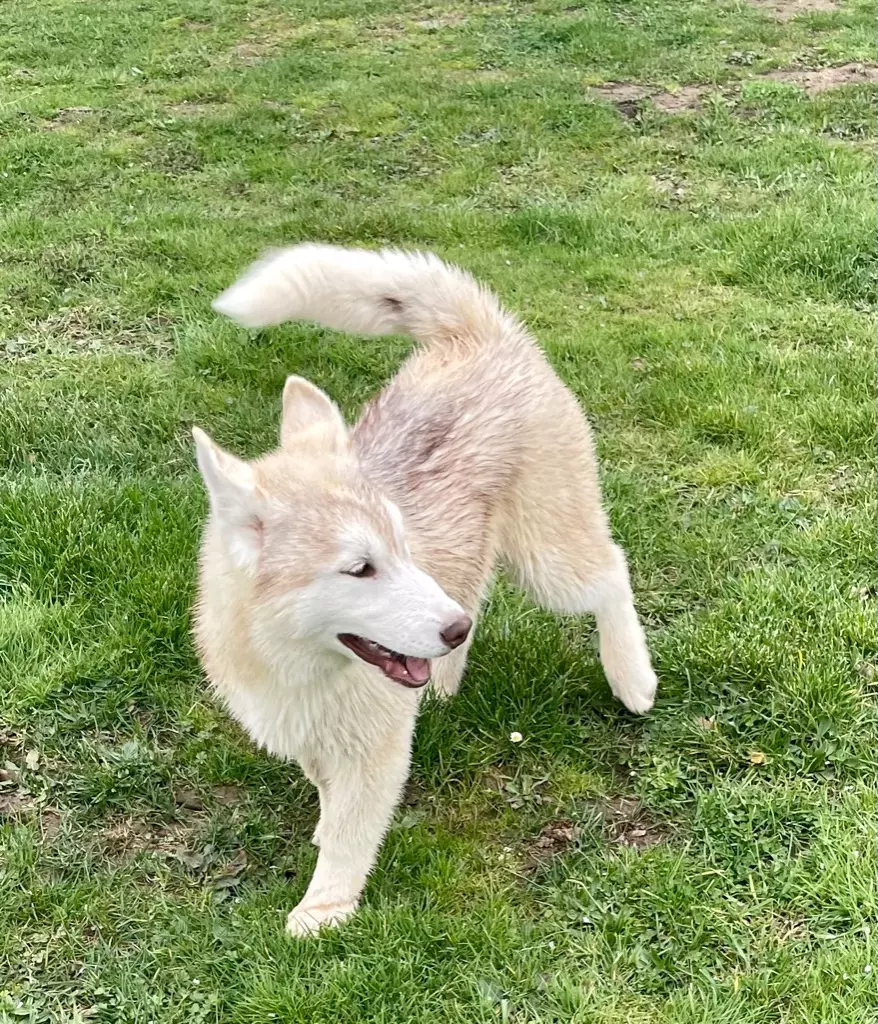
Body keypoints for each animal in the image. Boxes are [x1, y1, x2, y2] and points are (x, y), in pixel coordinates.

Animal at [193, 241, 655, 937]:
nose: (450, 630)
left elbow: (352, 834)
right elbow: (328, 795)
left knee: (609, 572)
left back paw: (632, 677)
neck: (299, 666)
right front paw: (323, 832)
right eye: (360, 568)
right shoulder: (314, 738)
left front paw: (324, 909)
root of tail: (475, 331)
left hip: (548, 558)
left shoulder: (375, 753)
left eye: (403, 547)